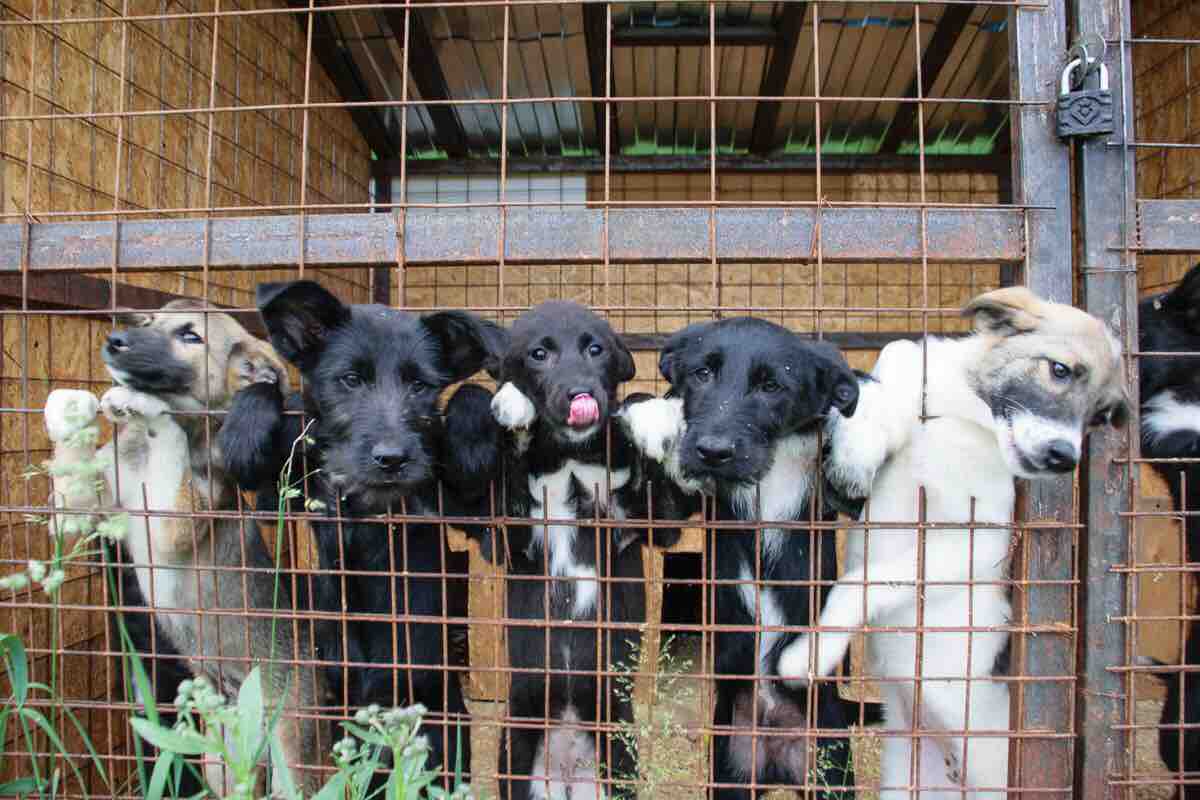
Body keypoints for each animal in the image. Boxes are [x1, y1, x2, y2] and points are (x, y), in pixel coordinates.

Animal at [220, 280, 506, 782]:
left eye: (420, 385)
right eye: (350, 380)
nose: (392, 458)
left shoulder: (465, 510)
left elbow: (471, 394)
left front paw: (471, 438)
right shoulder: (285, 491)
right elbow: (272, 400)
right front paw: (244, 431)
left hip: (441, 725)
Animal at [477, 299, 686, 800]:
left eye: (596, 350)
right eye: (538, 354)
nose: (581, 394)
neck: (570, 458)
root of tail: (568, 768)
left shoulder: (648, 523)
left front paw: (646, 414)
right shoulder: (509, 540)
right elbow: (511, 470)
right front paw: (515, 404)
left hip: (620, 750)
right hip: (515, 743)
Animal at [619, 316, 864, 796]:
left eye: (771, 385)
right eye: (702, 374)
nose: (712, 451)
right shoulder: (670, 516)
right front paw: (648, 411)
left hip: (830, 768)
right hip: (728, 769)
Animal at [772, 289, 1128, 800]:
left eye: (1100, 416)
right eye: (1059, 370)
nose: (1065, 457)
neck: (962, 416)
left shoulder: (974, 540)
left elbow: (863, 581)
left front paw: (809, 655)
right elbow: (892, 365)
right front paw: (862, 432)